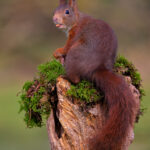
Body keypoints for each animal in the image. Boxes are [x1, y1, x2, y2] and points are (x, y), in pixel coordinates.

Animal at [52, 0, 137, 149]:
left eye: (67, 12)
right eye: (56, 9)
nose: (55, 19)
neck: (77, 20)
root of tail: (97, 68)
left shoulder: (75, 34)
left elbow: (67, 47)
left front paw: (58, 52)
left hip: (74, 54)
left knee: (76, 79)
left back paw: (65, 76)